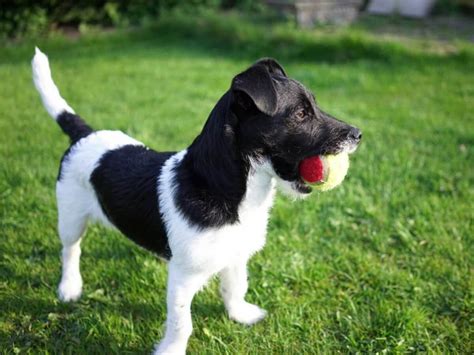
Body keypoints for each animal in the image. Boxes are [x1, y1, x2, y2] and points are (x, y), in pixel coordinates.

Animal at [31, 48, 362, 355]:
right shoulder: (182, 278)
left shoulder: (235, 255)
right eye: (301, 114)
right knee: (70, 250)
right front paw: (172, 351)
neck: (231, 192)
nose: (358, 134)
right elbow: (182, 323)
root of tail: (84, 134)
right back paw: (70, 287)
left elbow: (235, 287)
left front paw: (240, 315)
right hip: (71, 217)